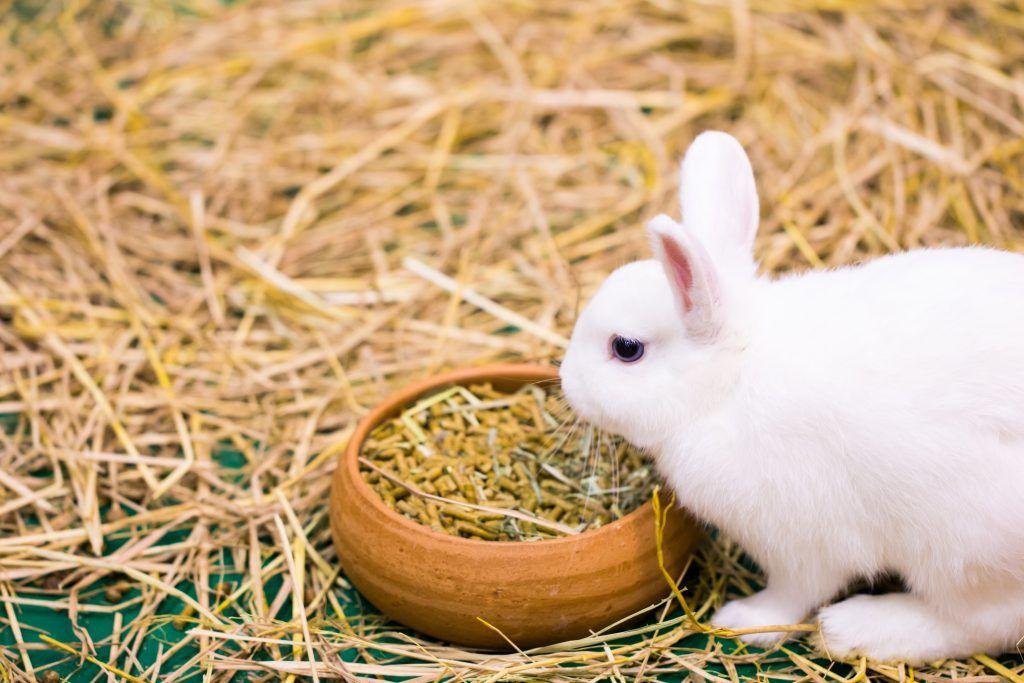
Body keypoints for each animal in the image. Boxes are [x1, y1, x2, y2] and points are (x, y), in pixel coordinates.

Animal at [561, 131, 1024, 663]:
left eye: (626, 348)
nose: (565, 380)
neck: (732, 380)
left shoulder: (800, 541)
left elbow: (792, 592)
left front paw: (743, 620)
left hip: (963, 548)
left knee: (983, 621)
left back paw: (854, 629)